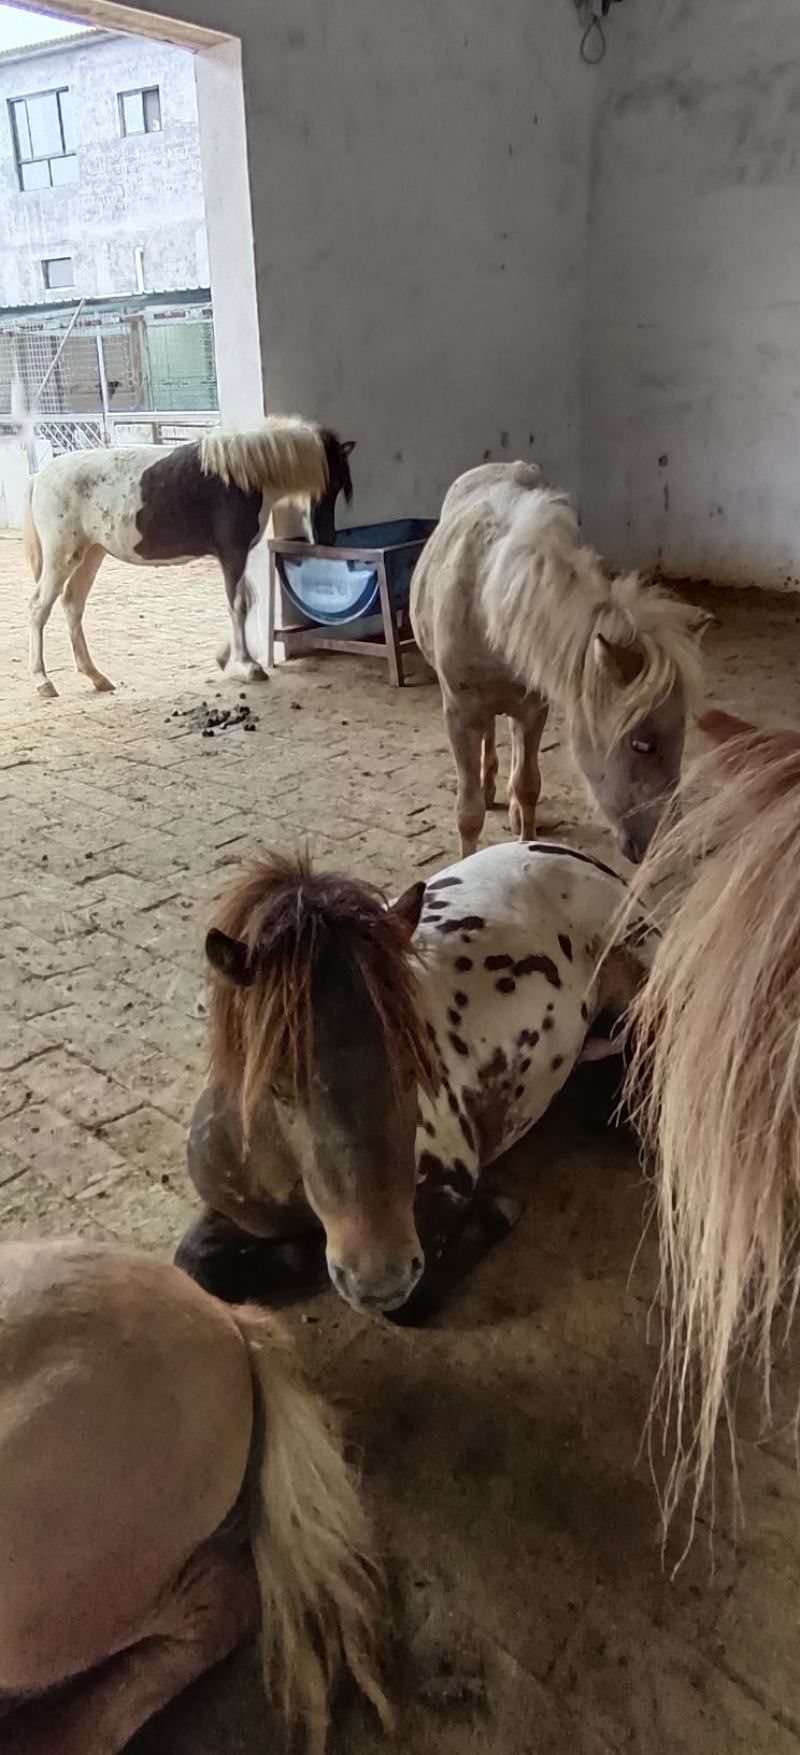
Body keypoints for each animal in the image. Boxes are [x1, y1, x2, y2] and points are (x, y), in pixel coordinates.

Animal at [22, 415, 354, 699]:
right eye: (330, 483)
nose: (326, 539)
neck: (239, 477)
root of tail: (39, 477)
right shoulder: (232, 553)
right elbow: (238, 604)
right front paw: (247, 666)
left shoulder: (235, 555)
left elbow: (248, 599)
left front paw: (224, 658)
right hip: (62, 557)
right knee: (39, 607)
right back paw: (42, 680)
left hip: (91, 554)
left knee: (72, 604)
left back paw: (96, 677)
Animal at [175, 840, 659, 1318]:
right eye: (274, 1083)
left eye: (415, 1062)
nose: (377, 1279)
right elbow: (195, 1264)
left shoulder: (443, 1193)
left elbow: (411, 1301)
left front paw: (497, 1212)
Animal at [410, 461, 708, 864]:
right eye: (641, 745)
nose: (662, 843)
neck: (486, 603)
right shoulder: (459, 713)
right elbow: (468, 813)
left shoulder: (534, 709)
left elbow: (527, 786)